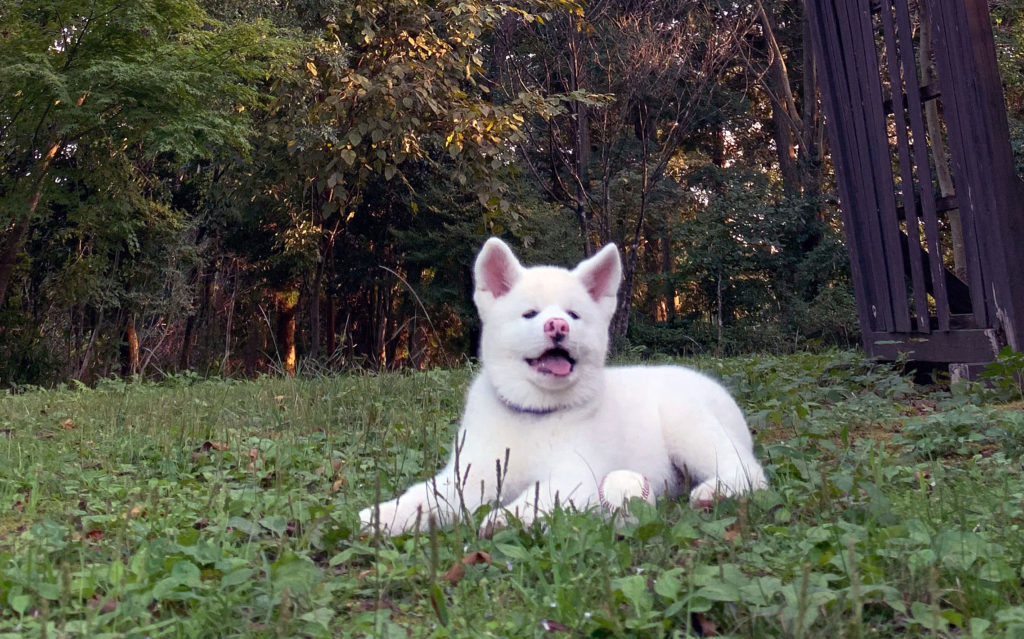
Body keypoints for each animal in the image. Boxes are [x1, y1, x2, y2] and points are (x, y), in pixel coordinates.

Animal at [360, 238, 770, 532]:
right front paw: (387, 515)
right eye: (529, 314)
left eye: (573, 314)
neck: (534, 414)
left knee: (749, 471)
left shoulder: (577, 476)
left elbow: (541, 494)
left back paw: (714, 492)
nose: (557, 326)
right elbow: (426, 496)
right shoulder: (470, 475)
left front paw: (506, 517)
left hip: (690, 427)